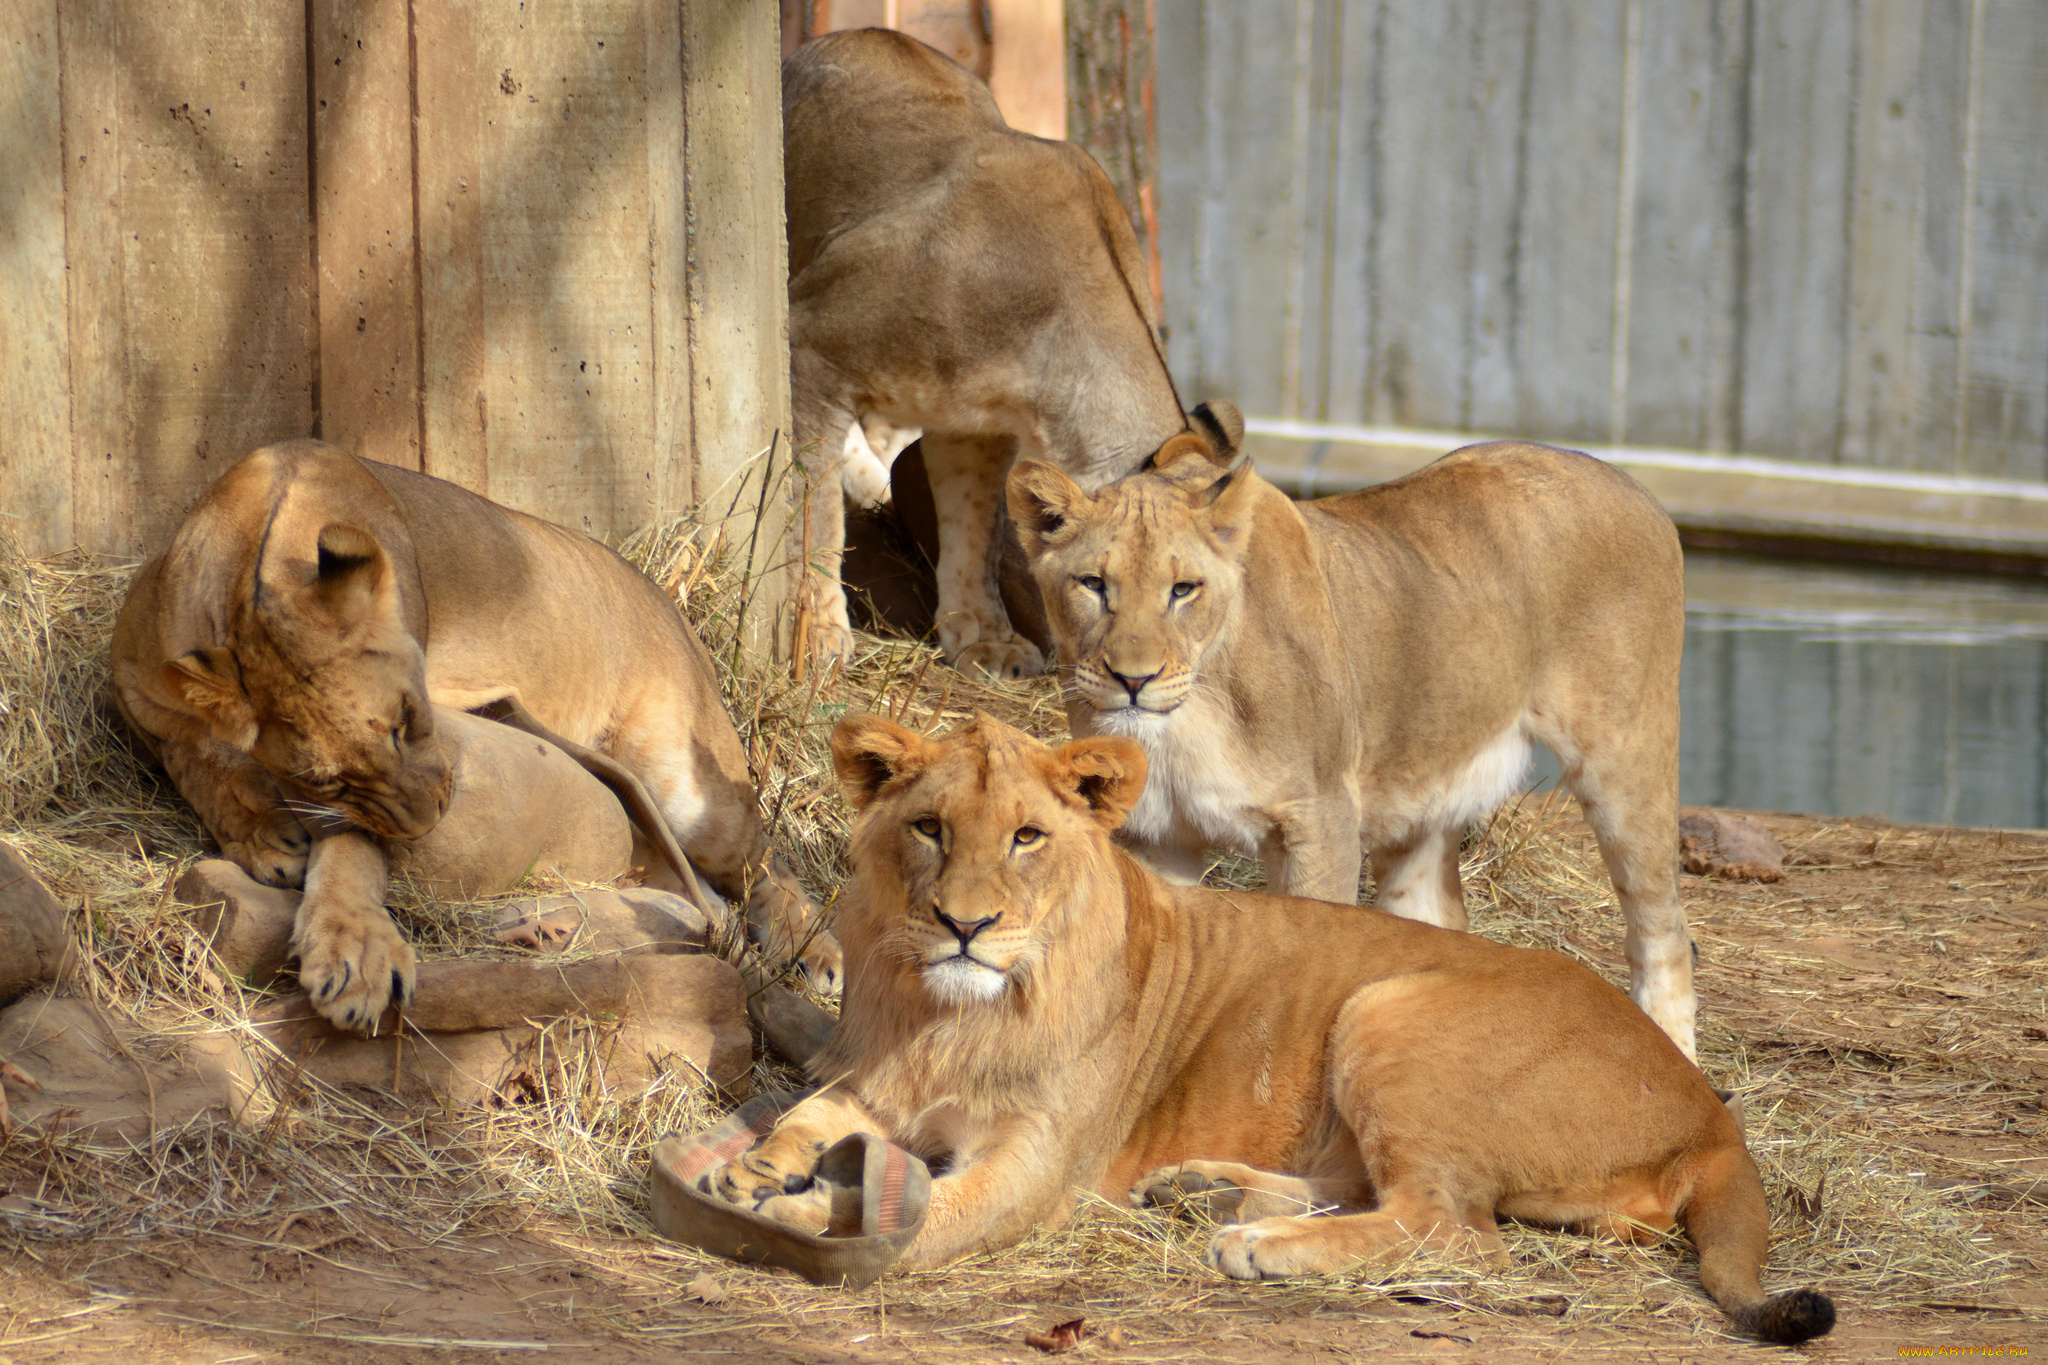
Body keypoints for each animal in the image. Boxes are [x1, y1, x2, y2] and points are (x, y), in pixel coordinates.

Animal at [110, 444, 847, 1031]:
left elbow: (352, 847)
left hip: (686, 785)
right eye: (323, 778)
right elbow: (197, 757)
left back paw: (817, 952)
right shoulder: (138, 692)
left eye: (411, 717)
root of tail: (675, 607)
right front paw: (264, 833)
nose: (431, 816)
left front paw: (354, 951)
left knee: (765, 858)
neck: (255, 569)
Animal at [708, 716, 1843, 1342]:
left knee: (1453, 1228)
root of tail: (1710, 1110)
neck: (946, 1012)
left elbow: (924, 1216)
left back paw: (1260, 1245)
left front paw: (800, 1214)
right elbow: (809, 1114)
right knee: (1373, 1190)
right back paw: (1207, 1192)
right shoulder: (876, 1082)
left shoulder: (1033, 1166)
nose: (964, 925)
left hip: (1389, 1005)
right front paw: (752, 1169)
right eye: (928, 828)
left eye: (1027, 836)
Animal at [778, 31, 1212, 683]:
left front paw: (986, 638)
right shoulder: (812, 343)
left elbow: (974, 529)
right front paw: (815, 634)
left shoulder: (973, 428)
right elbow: (815, 507)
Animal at [1007, 431, 1695, 1064]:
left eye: (1183, 589)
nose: (1134, 679)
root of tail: (1632, 483)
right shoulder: (1155, 836)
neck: (1184, 724)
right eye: (1093, 584)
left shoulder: (1321, 821)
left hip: (1625, 761)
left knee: (1664, 932)